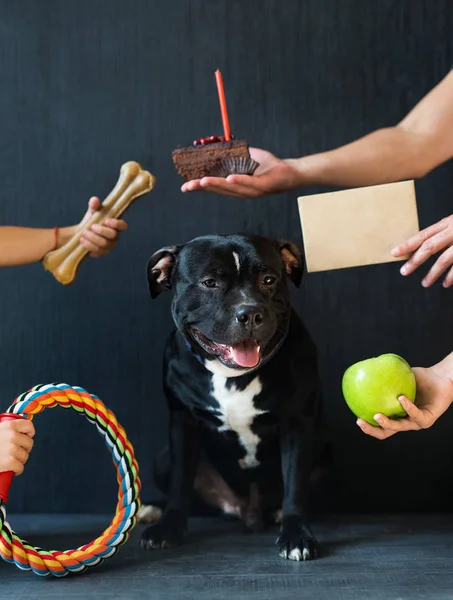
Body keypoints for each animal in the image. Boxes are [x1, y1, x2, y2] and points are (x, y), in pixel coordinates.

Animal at [139, 232, 332, 560]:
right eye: (210, 282)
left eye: (268, 279)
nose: (250, 312)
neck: (233, 378)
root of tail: (246, 510)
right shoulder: (182, 422)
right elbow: (180, 481)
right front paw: (168, 528)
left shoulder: (297, 425)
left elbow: (294, 485)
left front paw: (296, 533)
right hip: (162, 458)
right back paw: (153, 509)